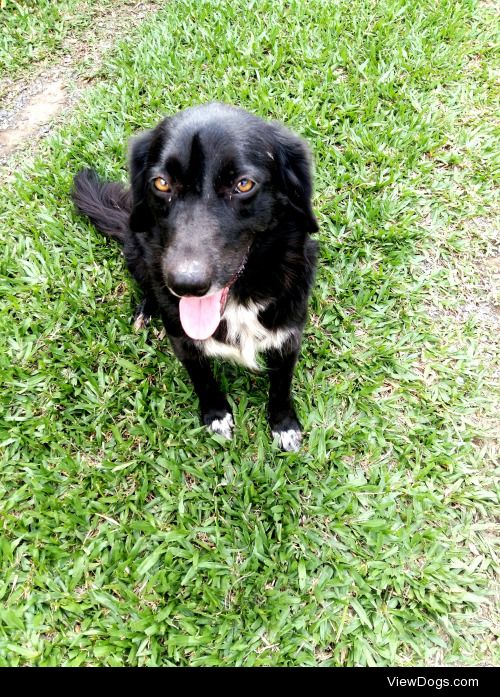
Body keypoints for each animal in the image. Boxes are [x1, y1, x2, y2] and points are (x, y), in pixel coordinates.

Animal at [71, 103, 316, 452]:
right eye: (161, 183)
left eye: (244, 185)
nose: (186, 285)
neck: (240, 297)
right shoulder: (182, 340)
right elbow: (203, 379)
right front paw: (216, 415)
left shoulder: (288, 334)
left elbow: (281, 386)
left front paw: (283, 425)